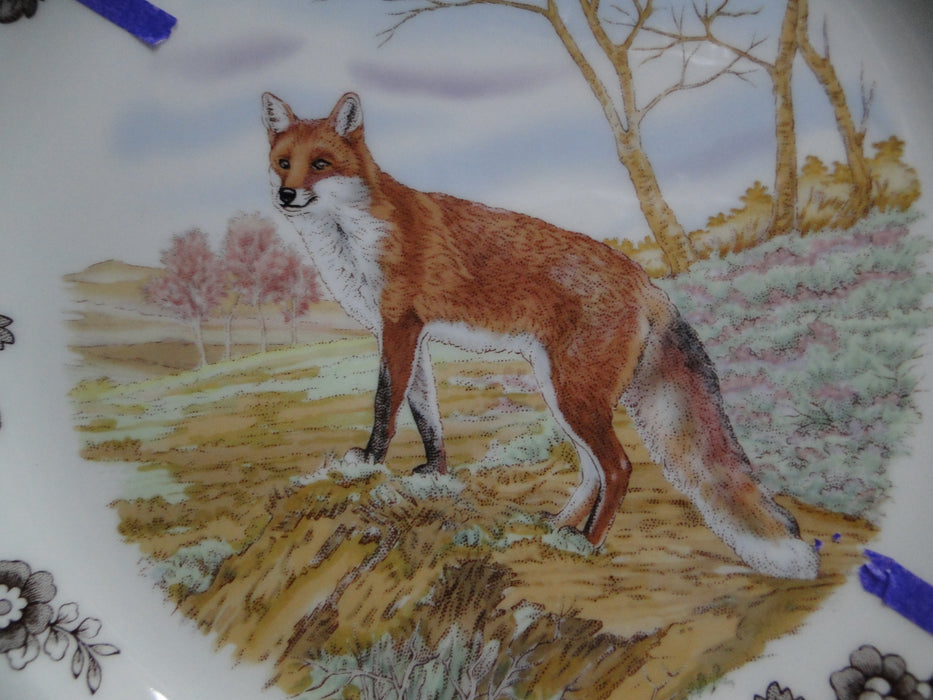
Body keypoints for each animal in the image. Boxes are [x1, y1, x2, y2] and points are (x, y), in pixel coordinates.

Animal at [261, 91, 820, 580]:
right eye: (284, 162)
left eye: (320, 164)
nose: (286, 195)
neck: (353, 237)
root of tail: (646, 282)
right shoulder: (411, 337)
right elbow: (426, 415)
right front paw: (435, 472)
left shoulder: (398, 327)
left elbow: (384, 405)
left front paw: (368, 463)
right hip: (564, 393)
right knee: (594, 471)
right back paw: (556, 527)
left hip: (573, 393)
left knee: (619, 468)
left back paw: (587, 544)